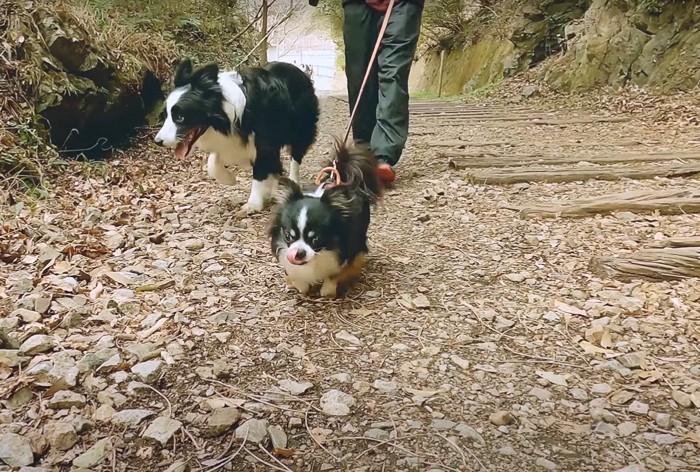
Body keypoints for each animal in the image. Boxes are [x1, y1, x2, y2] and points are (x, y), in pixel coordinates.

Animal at [154, 58, 320, 212]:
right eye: (166, 115)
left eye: (180, 117)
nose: (157, 141)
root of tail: (300, 70)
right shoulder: (230, 140)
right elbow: (212, 162)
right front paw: (229, 179)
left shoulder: (264, 142)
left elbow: (260, 171)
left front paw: (253, 204)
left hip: (301, 129)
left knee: (295, 157)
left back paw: (292, 181)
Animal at [270, 138, 386, 296]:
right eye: (288, 236)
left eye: (315, 238)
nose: (298, 253)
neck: (322, 252)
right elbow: (295, 276)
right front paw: (300, 284)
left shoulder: (351, 253)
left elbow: (335, 274)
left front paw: (327, 290)